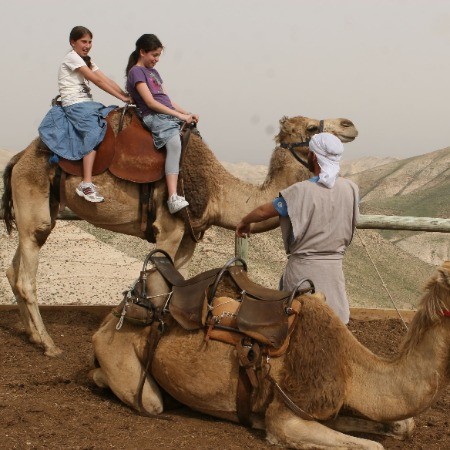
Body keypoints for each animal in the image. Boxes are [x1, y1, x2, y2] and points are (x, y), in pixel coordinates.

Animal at [0, 113, 358, 356]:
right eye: (311, 127)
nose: (349, 124)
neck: (216, 192)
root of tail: (18, 158)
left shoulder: (187, 239)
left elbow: (172, 285)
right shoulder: (169, 230)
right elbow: (158, 285)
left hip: (38, 211)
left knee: (14, 269)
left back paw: (32, 335)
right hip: (34, 203)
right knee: (26, 277)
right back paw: (48, 344)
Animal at [89, 258, 450, 448]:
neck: (350, 370)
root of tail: (117, 310)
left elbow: (402, 426)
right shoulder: (285, 415)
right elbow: (374, 445)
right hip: (121, 353)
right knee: (145, 399)